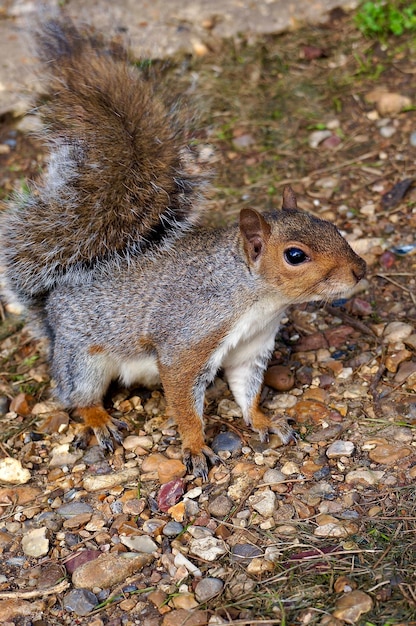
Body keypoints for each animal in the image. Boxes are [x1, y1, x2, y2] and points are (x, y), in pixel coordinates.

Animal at [1, 18, 368, 478]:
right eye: (295, 255)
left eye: (334, 227)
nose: (360, 270)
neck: (256, 297)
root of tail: (50, 307)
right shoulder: (188, 337)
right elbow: (183, 400)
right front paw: (195, 446)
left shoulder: (253, 346)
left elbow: (247, 388)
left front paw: (263, 420)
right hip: (82, 357)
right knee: (75, 396)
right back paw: (99, 419)